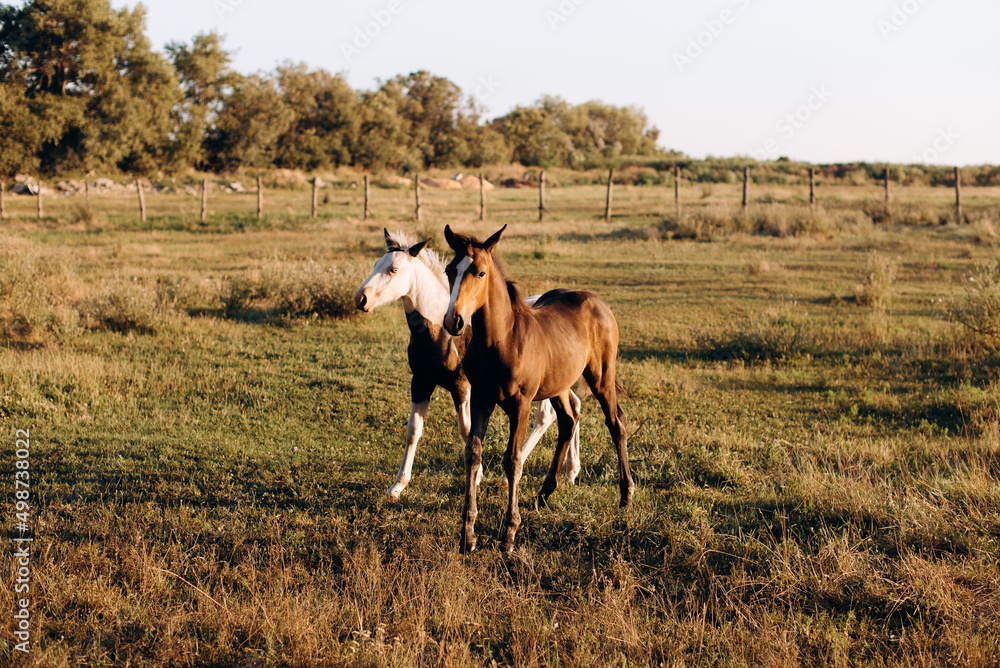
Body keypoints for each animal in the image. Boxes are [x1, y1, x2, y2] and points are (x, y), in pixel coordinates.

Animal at [444, 224, 632, 552]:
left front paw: (508, 534)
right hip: (559, 384)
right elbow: (473, 454)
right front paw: (468, 535)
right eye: (448, 271)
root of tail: (596, 301)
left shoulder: (521, 404)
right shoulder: (481, 398)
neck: (501, 340)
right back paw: (544, 494)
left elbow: (513, 459)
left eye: (480, 273)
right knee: (569, 420)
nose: (453, 320)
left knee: (615, 422)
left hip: (601, 376)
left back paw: (625, 494)